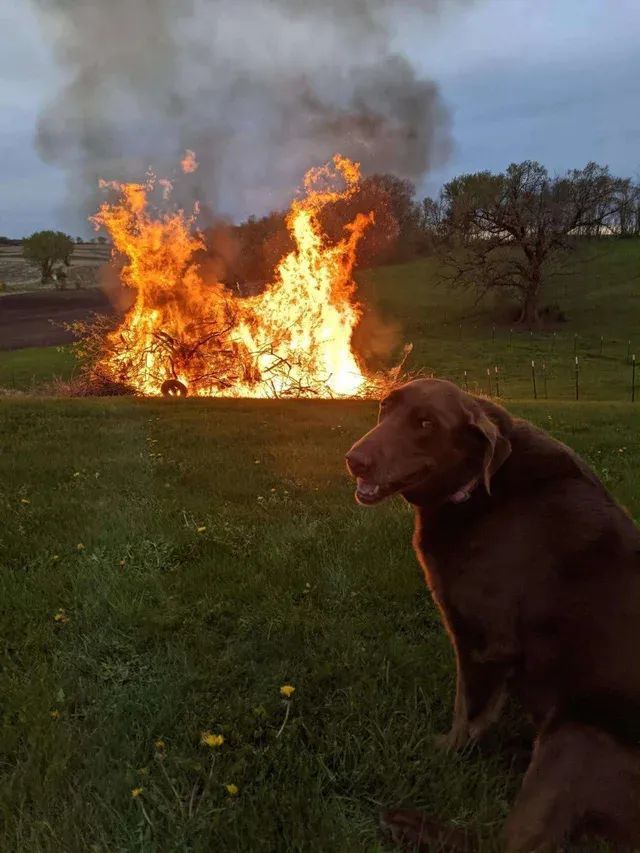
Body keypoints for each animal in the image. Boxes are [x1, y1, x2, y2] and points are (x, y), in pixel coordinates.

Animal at [350, 382, 640, 852]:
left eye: (426, 423)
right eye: (384, 409)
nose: (353, 459)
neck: (479, 489)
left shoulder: (482, 641)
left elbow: (465, 714)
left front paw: (440, 752)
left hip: (577, 735)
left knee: (508, 844)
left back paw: (406, 823)